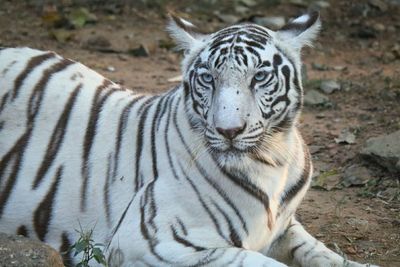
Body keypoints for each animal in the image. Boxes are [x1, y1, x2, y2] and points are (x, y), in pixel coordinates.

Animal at [0, 11, 378, 266]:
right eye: (208, 78)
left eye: (259, 77)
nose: (229, 131)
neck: (273, 159)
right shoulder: (152, 240)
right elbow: (258, 262)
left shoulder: (285, 227)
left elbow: (320, 252)